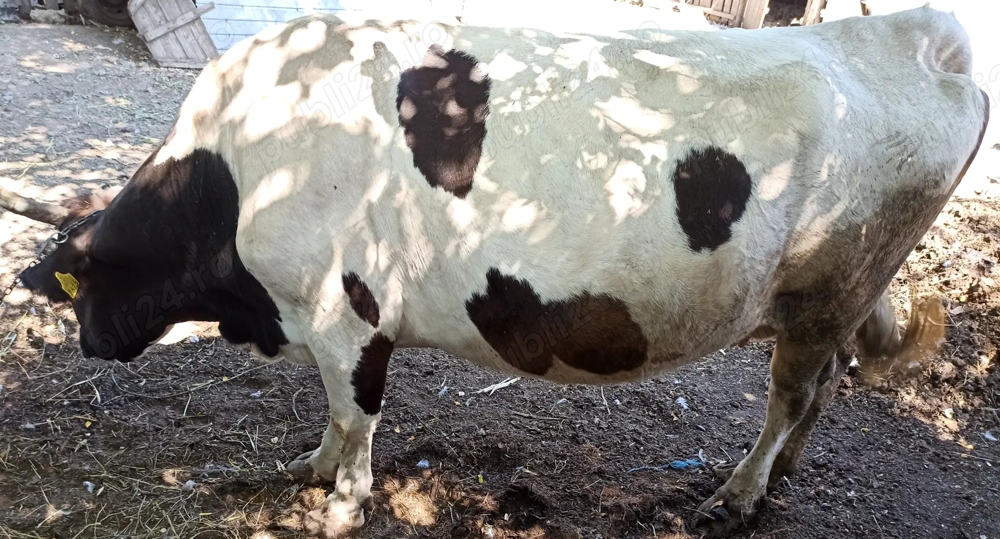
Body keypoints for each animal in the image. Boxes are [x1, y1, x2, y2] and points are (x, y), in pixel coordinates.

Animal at [0, 5, 989, 537]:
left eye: (85, 284)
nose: (89, 344)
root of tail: (916, 34)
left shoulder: (347, 313)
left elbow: (355, 414)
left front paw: (342, 502)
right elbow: (332, 417)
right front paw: (309, 469)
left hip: (830, 289)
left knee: (794, 392)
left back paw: (739, 494)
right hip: (837, 298)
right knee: (824, 387)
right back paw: (779, 479)